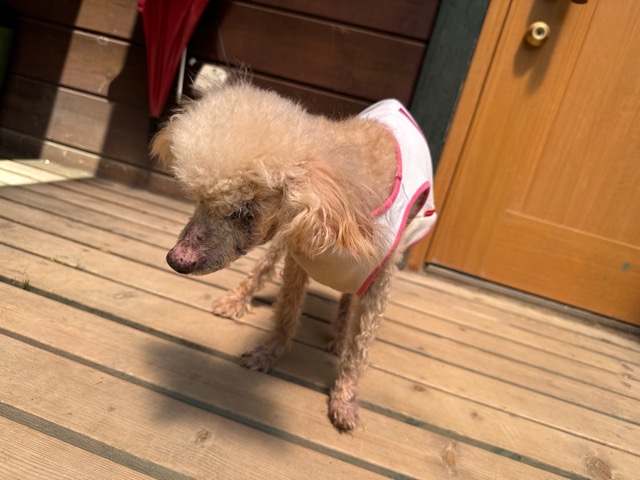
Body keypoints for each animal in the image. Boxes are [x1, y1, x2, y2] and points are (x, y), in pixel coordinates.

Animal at [152, 79, 436, 431]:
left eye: (244, 211)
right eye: (200, 201)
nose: (176, 260)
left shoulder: (378, 282)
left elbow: (359, 347)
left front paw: (344, 399)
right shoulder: (298, 252)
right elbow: (286, 313)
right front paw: (268, 354)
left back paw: (340, 336)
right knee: (262, 269)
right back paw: (236, 300)